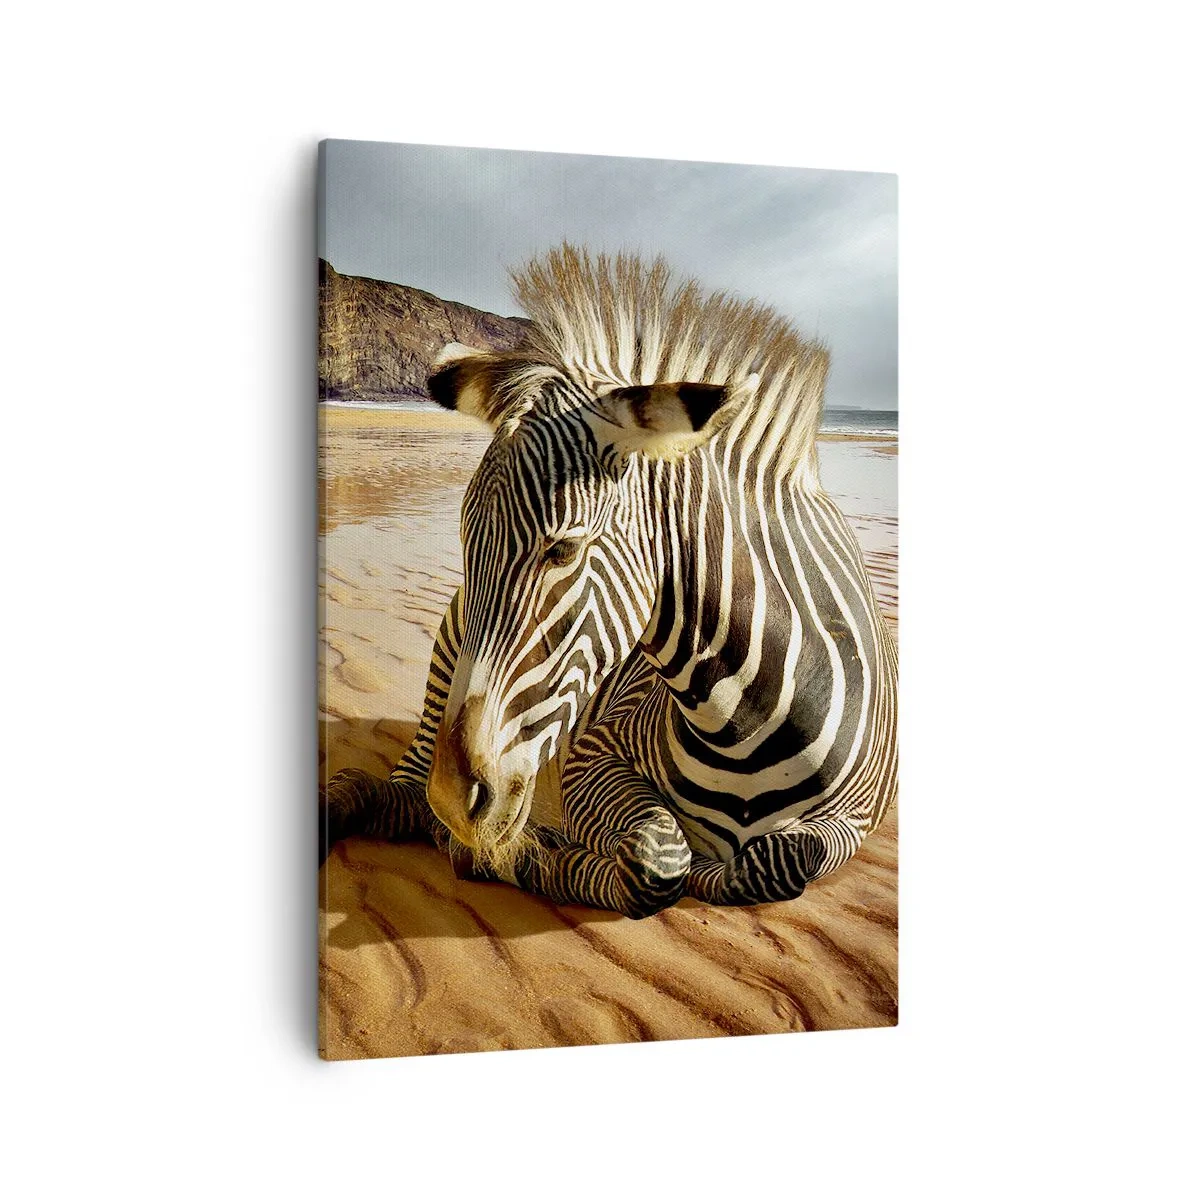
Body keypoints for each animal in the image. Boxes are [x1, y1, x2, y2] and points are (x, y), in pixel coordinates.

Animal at [321, 245, 898, 918]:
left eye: (563, 550)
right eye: (465, 541)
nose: (455, 800)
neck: (748, 720)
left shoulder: (856, 818)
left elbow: (776, 861)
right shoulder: (593, 753)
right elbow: (658, 859)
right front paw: (519, 856)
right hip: (448, 656)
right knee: (402, 795)